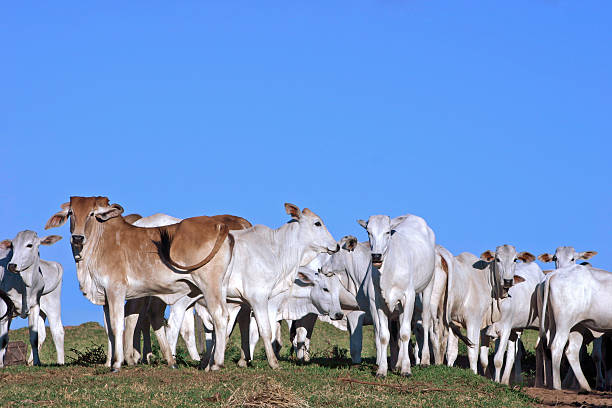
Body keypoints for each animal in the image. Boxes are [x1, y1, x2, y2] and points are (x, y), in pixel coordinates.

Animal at [221, 204, 338, 370]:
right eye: (317, 223)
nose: (337, 245)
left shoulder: (241, 302)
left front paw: (242, 360)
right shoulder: (260, 300)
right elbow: (264, 331)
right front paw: (273, 362)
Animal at [356, 215, 438, 378]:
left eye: (388, 232)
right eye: (368, 232)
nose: (376, 255)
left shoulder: (409, 296)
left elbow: (405, 334)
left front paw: (406, 369)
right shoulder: (379, 302)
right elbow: (384, 336)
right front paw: (382, 370)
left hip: (428, 286)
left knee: (426, 321)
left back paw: (424, 360)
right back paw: (398, 363)